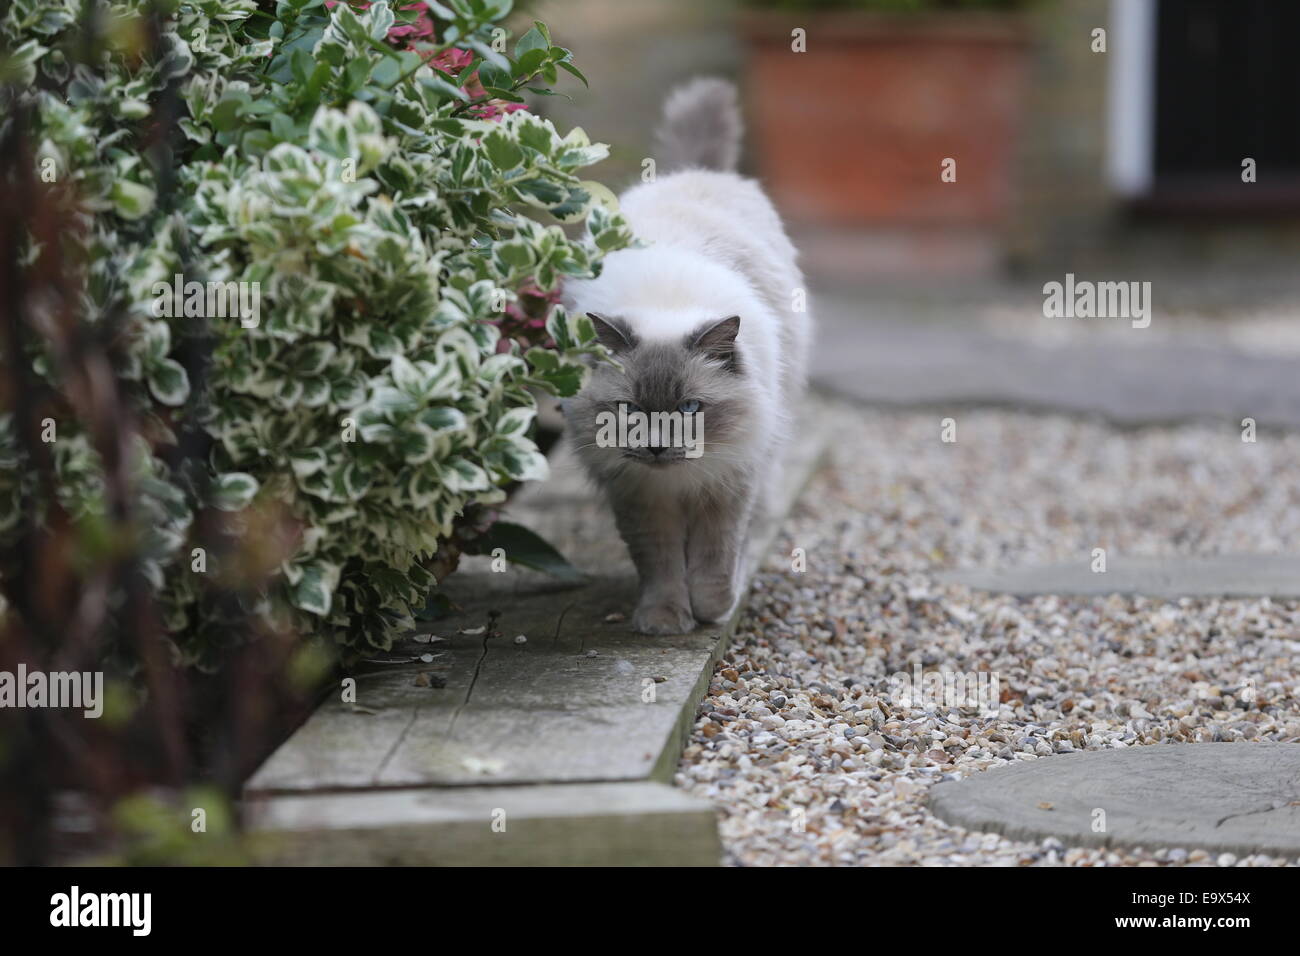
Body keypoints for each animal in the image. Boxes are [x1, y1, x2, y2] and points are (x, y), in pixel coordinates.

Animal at [561, 78, 806, 634]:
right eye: (630, 410)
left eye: (690, 409)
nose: (655, 447)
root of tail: (696, 172)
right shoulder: (641, 499)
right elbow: (662, 565)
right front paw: (666, 620)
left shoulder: (728, 485)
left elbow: (715, 561)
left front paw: (713, 612)